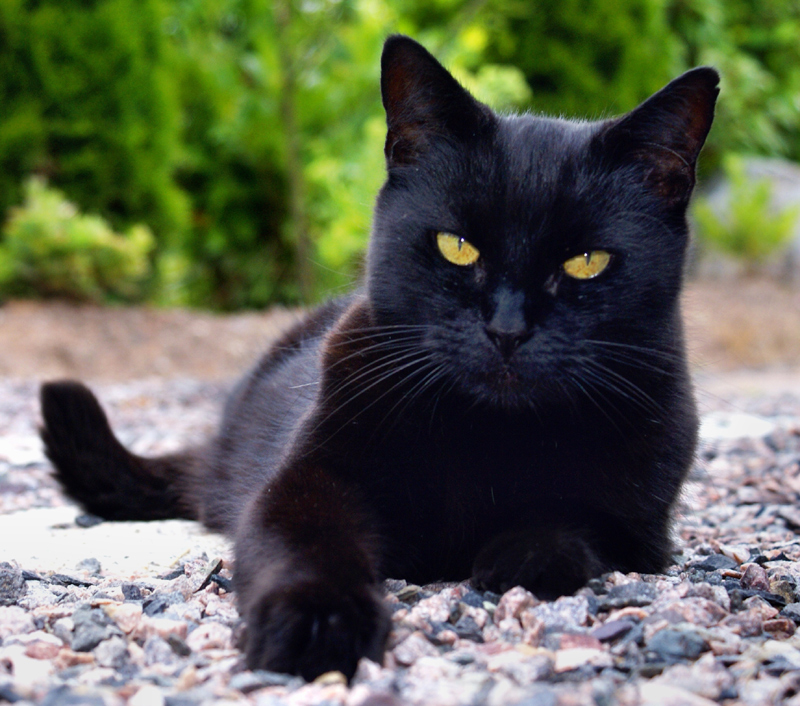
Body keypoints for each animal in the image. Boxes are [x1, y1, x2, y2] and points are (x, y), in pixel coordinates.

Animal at [40, 34, 720, 680]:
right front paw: (315, 624)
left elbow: (575, 519)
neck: (490, 436)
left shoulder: (642, 521)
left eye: (586, 262)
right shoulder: (303, 482)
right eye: (456, 246)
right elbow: (307, 545)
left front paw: (522, 554)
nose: (506, 328)